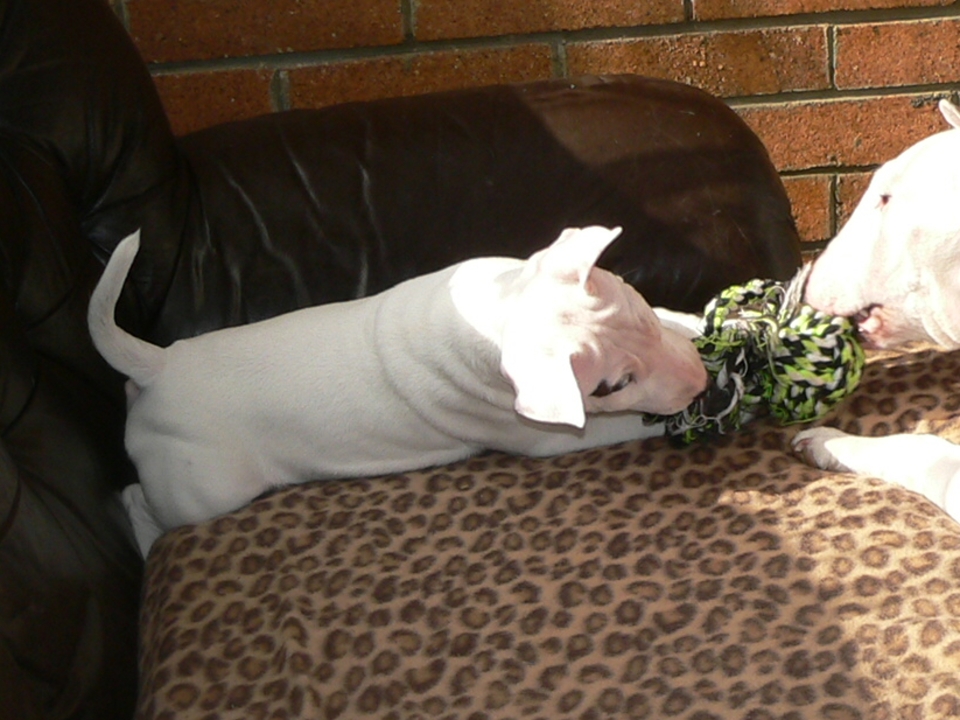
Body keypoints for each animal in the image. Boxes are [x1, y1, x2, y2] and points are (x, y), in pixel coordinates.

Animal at [90, 226, 707, 555]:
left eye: (636, 306)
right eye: (612, 385)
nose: (700, 379)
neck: (495, 311)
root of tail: (161, 364)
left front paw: (702, 322)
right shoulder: (543, 434)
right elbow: (616, 425)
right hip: (203, 486)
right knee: (137, 500)